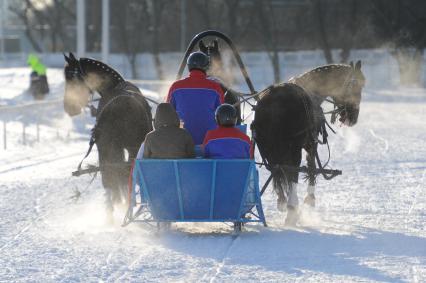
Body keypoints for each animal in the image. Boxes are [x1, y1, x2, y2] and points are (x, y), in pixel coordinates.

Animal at [61, 52, 151, 217]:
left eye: (72, 77)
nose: (69, 107)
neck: (113, 86)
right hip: (124, 146)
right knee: (119, 173)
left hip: (110, 146)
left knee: (112, 175)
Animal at [253, 62, 366, 226]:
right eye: (358, 85)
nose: (353, 117)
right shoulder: (311, 144)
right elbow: (311, 167)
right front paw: (309, 199)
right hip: (293, 147)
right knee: (292, 171)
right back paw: (292, 209)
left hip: (267, 146)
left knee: (276, 169)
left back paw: (283, 201)